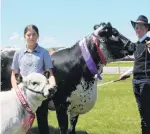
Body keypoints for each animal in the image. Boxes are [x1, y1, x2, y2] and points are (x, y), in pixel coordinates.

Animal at [0, 22, 135, 133]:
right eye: (115, 33)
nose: (133, 45)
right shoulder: (61, 104)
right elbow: (63, 128)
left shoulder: (76, 105)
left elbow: (72, 127)